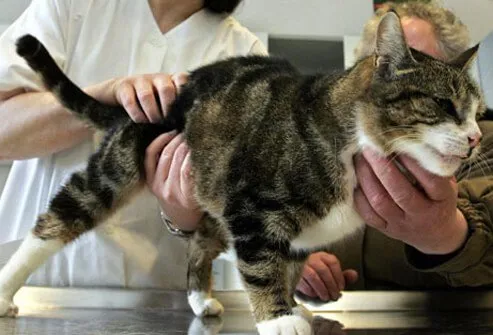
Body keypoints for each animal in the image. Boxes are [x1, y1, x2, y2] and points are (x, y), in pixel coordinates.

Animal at [0, 11, 482, 335]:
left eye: (478, 110)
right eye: (444, 105)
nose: (477, 137)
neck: (350, 139)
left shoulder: (290, 232)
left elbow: (287, 266)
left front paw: (293, 306)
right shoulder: (252, 208)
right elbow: (261, 264)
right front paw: (278, 318)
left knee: (199, 247)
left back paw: (201, 298)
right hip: (115, 172)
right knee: (56, 221)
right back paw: (6, 290)